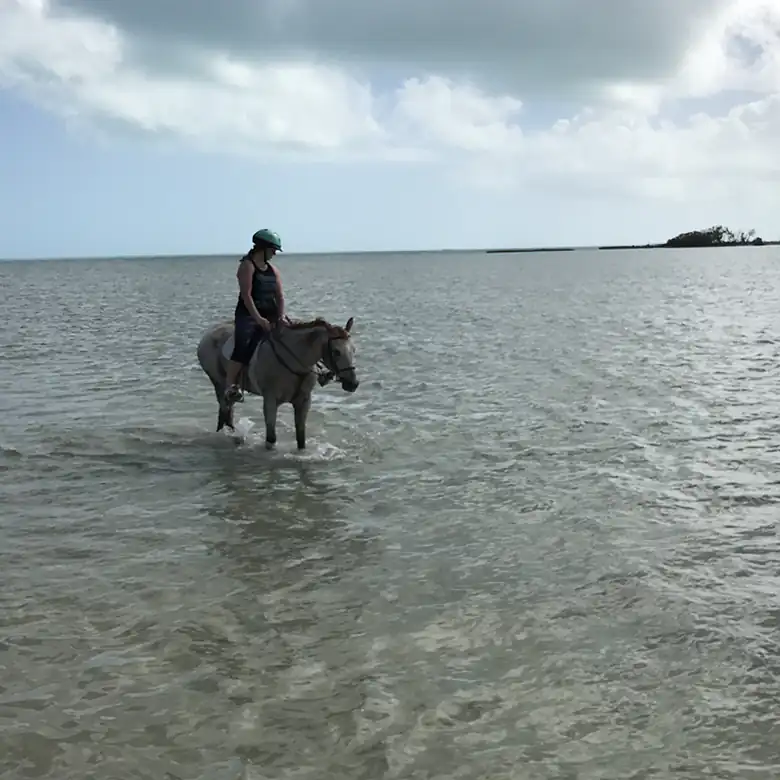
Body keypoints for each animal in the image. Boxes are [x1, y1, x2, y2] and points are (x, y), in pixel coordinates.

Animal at [196, 316, 359, 450]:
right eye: (336, 352)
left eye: (353, 350)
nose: (353, 384)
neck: (294, 360)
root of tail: (209, 333)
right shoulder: (270, 400)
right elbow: (271, 438)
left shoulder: (304, 401)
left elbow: (301, 438)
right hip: (218, 384)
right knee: (224, 411)